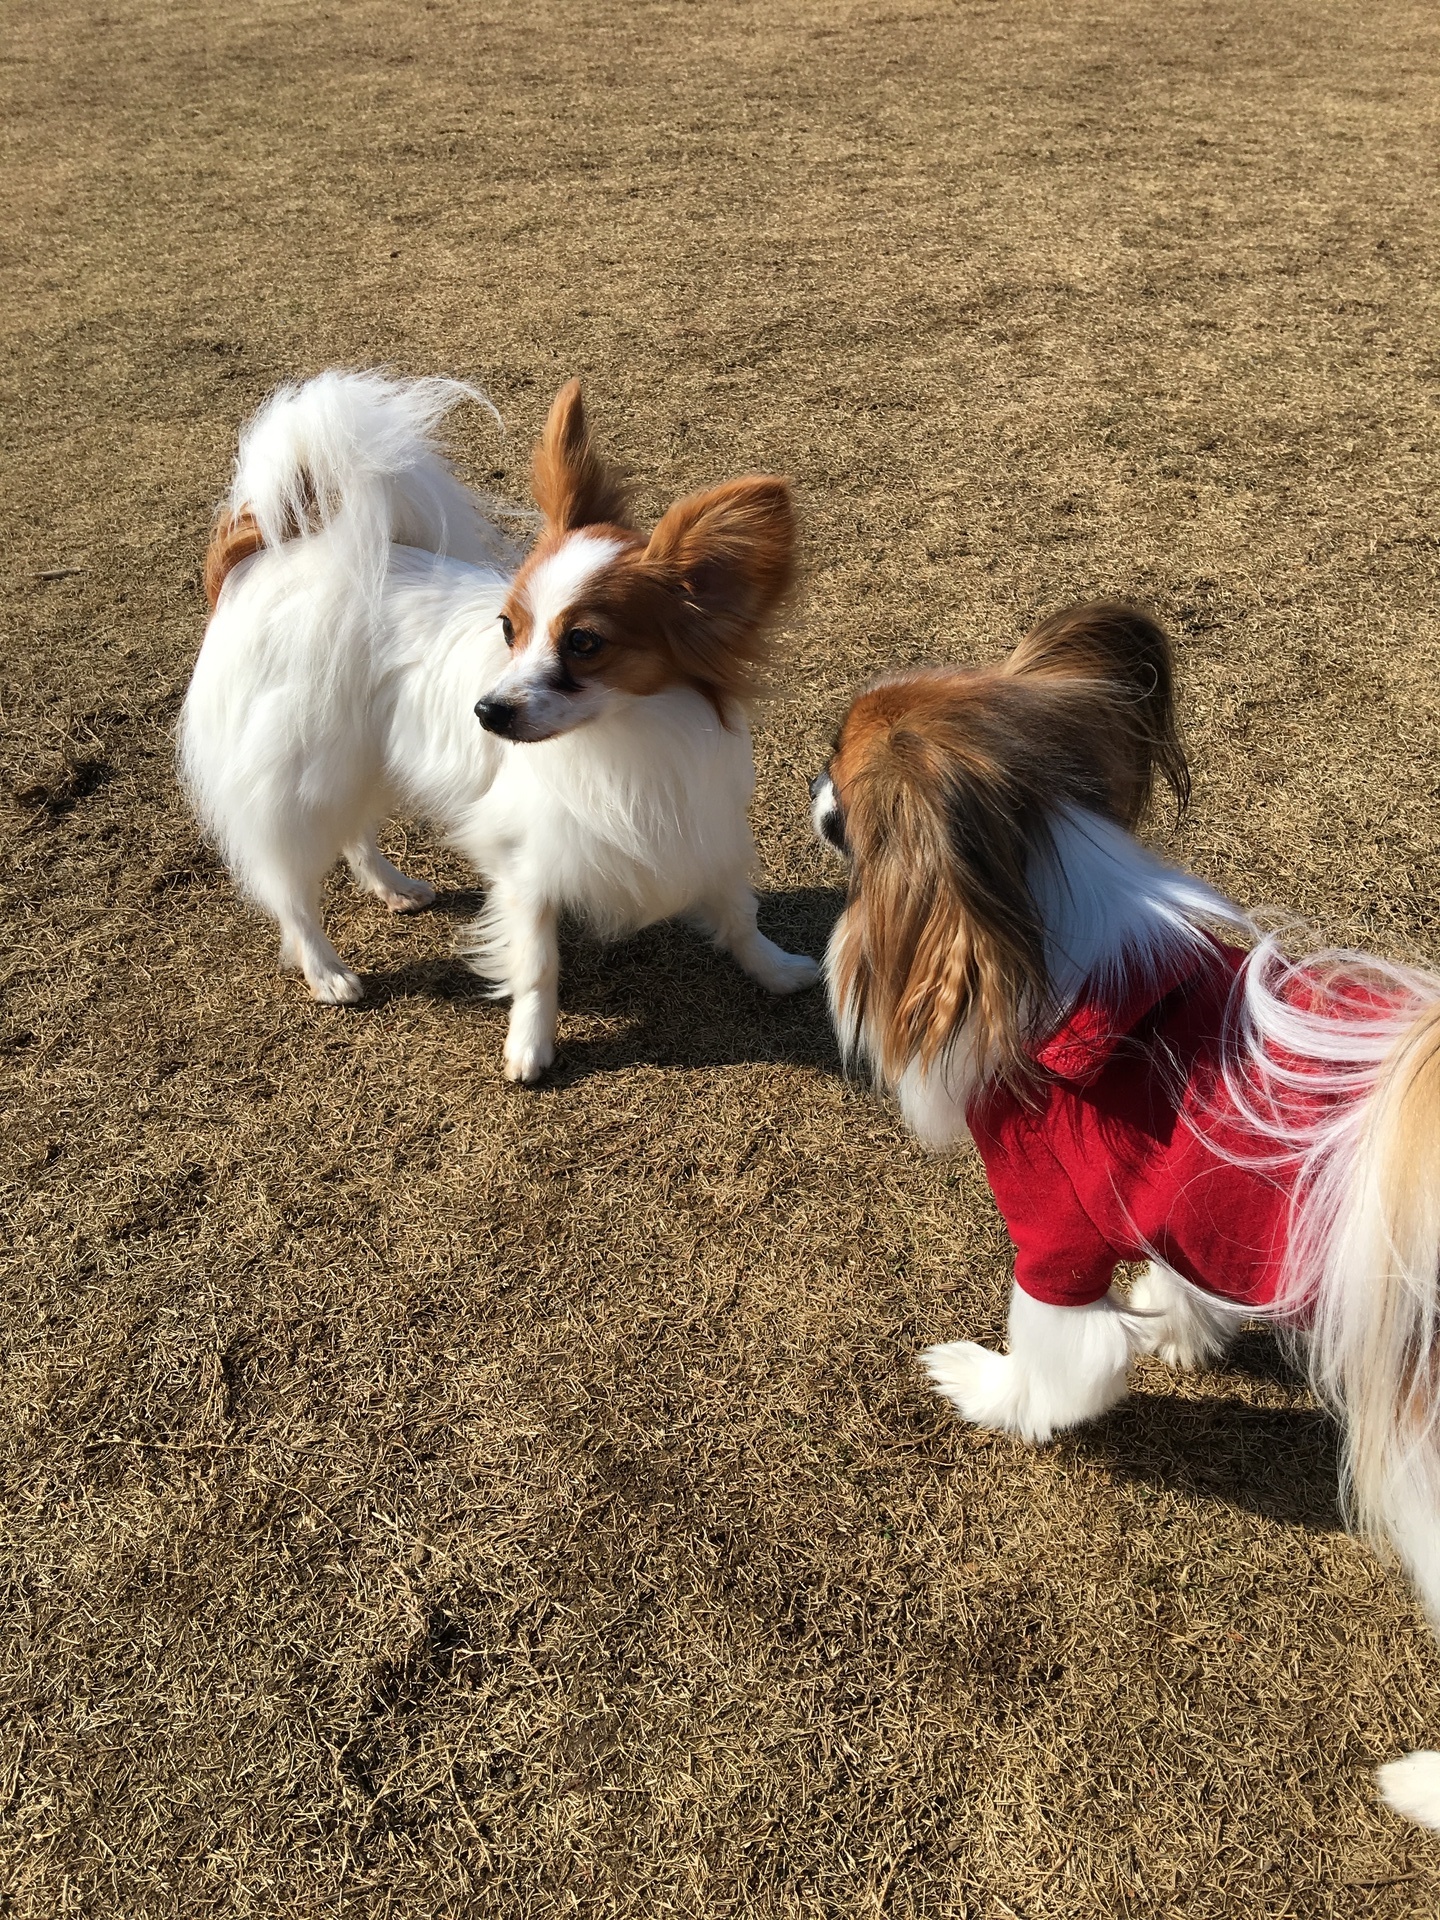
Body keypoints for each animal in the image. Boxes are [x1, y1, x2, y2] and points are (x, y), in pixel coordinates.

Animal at [177, 366, 821, 1075]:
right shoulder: (526, 862)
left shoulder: (700, 823)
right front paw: (530, 1048)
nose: (486, 712)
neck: (623, 734)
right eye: (509, 630)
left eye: (585, 643)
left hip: (359, 757)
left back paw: (393, 887)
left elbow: (738, 910)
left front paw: (777, 970)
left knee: (353, 831)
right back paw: (327, 972)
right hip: (298, 773)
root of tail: (265, 557)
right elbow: (537, 963)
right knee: (290, 886)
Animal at [817, 602, 1440, 1827]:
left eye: (844, 787)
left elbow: (1057, 1363)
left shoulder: (1051, 1231)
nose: (807, 794)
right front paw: (1183, 1326)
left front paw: (990, 1391)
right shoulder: (1162, 1191)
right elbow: (1182, 1270)